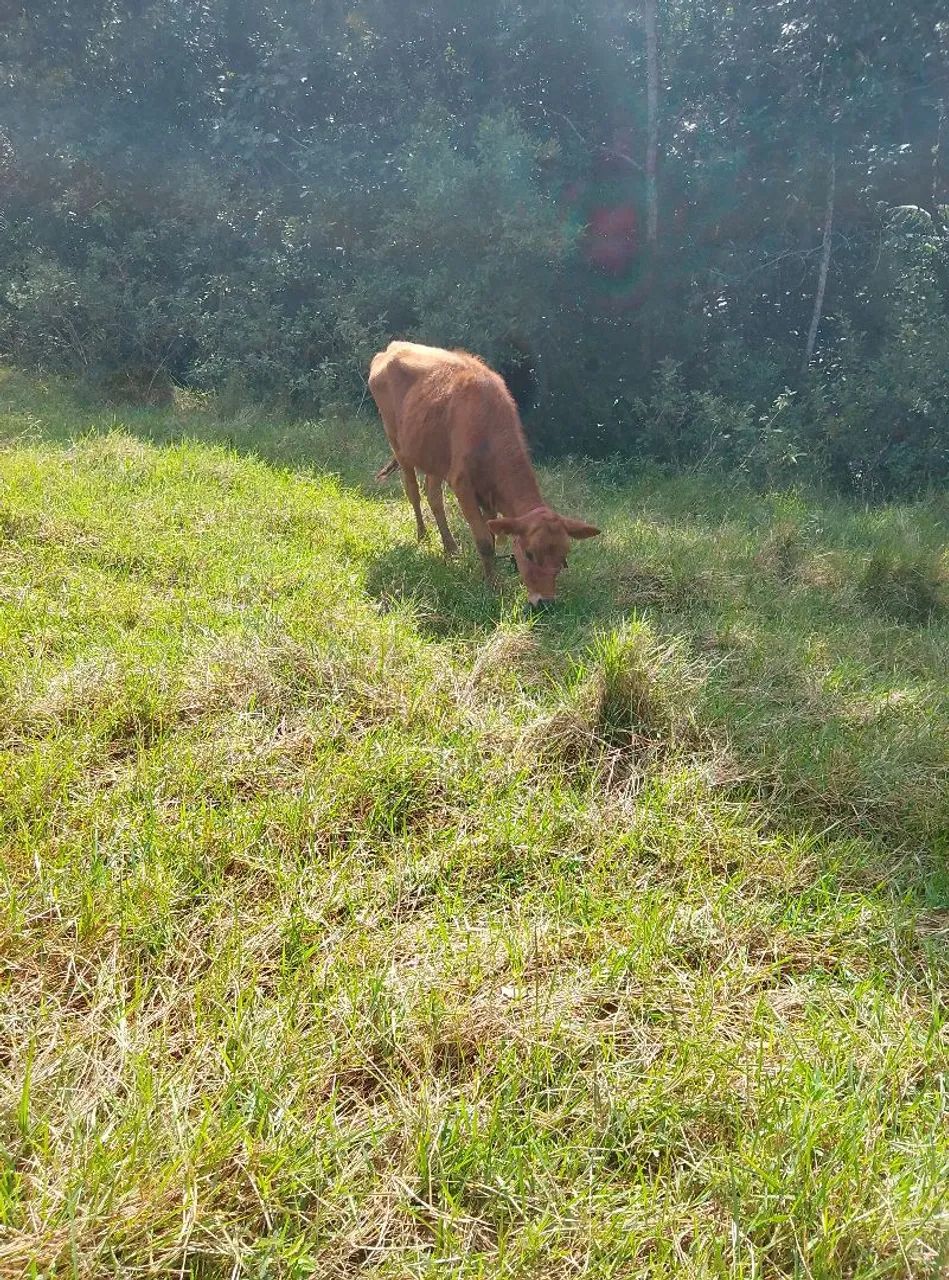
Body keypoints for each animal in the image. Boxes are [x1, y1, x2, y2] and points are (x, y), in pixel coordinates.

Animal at [368, 341, 600, 606]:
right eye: (529, 553)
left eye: (562, 559)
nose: (546, 602)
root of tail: (393, 346)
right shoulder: (463, 485)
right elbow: (484, 541)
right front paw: (493, 586)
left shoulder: (488, 494)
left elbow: (492, 533)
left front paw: (489, 574)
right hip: (398, 444)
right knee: (413, 492)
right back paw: (423, 536)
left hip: (434, 457)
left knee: (434, 497)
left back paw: (451, 548)